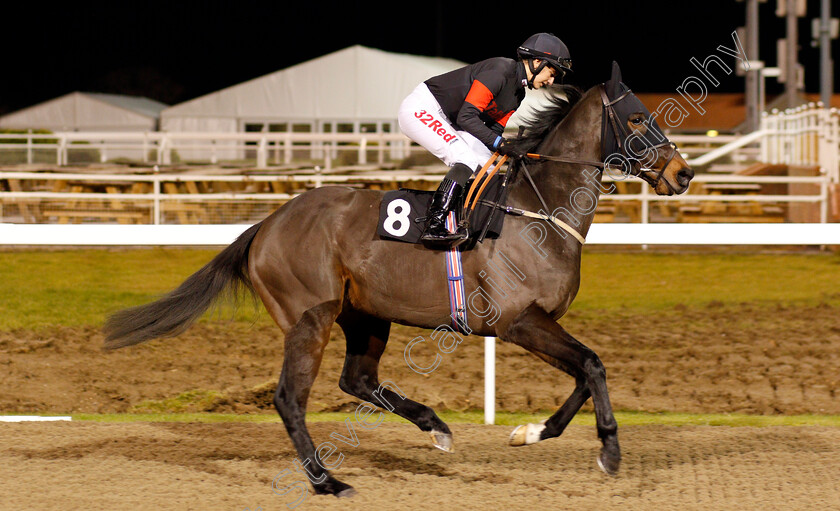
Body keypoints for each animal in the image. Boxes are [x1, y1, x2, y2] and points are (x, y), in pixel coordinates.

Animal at [103, 62, 696, 498]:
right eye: (638, 119)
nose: (683, 173)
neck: (538, 207)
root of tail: (267, 224)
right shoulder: (518, 322)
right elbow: (593, 366)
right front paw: (610, 453)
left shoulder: (540, 322)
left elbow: (583, 375)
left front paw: (529, 433)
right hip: (310, 318)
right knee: (290, 398)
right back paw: (327, 481)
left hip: (367, 316)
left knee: (357, 380)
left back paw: (435, 428)